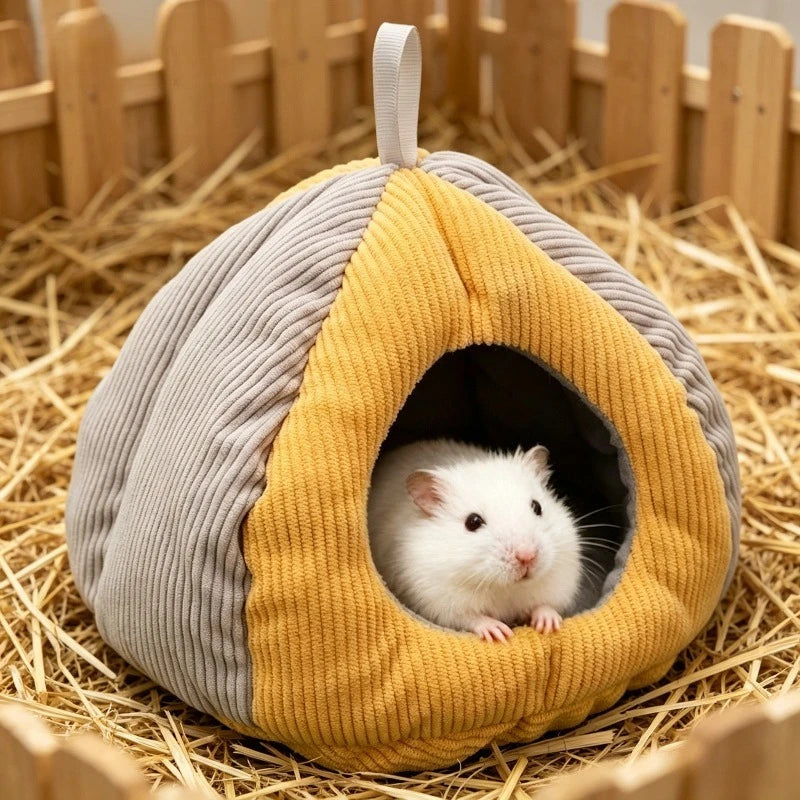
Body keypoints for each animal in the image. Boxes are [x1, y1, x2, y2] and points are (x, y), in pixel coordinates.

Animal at [367, 439, 583, 643]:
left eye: (537, 507)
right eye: (473, 522)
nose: (527, 557)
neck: (505, 587)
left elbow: (545, 605)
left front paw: (548, 625)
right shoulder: (440, 601)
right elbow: (472, 618)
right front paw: (499, 633)